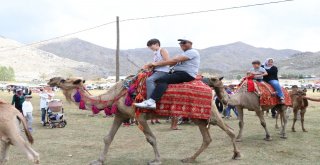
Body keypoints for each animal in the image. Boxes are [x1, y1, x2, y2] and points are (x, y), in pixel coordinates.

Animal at [47, 77, 240, 165]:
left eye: (64, 79)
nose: (51, 80)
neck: (117, 94)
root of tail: (209, 87)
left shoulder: (139, 115)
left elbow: (151, 139)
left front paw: (156, 160)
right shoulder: (120, 115)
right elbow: (108, 138)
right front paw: (98, 160)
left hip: (210, 113)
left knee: (229, 130)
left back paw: (236, 154)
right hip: (198, 117)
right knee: (207, 138)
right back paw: (189, 158)